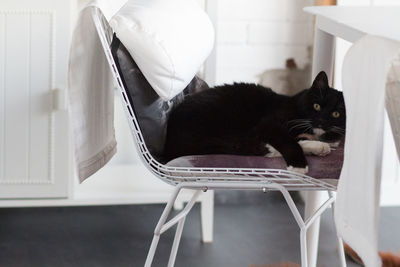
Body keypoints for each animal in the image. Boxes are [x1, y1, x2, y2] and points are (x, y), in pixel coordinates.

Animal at [164, 72, 346, 175]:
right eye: (317, 106)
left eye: (336, 114)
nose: (322, 120)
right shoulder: (269, 124)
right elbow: (288, 141)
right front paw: (299, 165)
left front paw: (319, 146)